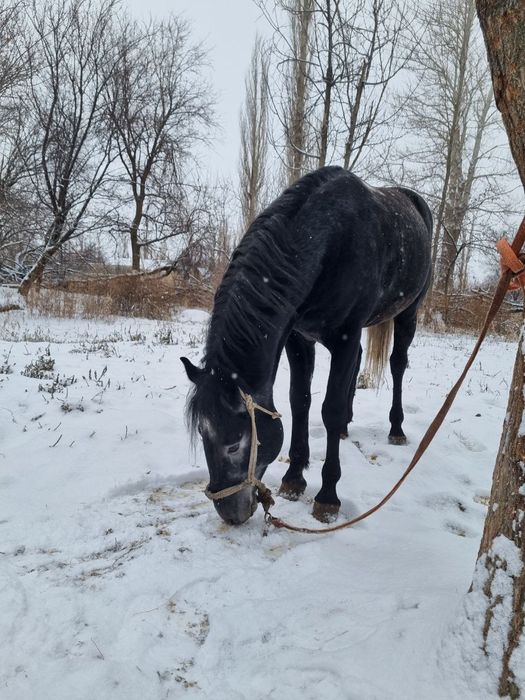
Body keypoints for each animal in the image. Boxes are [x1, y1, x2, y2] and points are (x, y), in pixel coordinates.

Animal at [182, 166, 432, 526]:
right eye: (203, 435)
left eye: (234, 444)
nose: (230, 513)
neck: (328, 239)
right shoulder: (299, 338)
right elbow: (299, 401)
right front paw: (294, 479)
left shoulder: (345, 337)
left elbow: (330, 409)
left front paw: (327, 497)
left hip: (408, 314)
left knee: (397, 365)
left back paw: (395, 428)